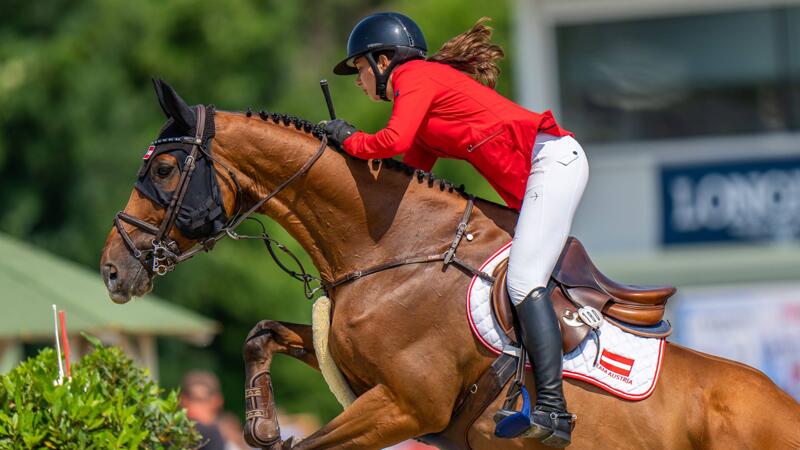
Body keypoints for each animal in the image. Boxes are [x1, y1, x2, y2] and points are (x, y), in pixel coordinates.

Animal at [100, 81, 800, 450]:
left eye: (165, 169)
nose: (111, 271)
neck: (389, 252)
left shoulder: (407, 407)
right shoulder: (365, 379)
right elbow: (261, 334)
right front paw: (262, 422)